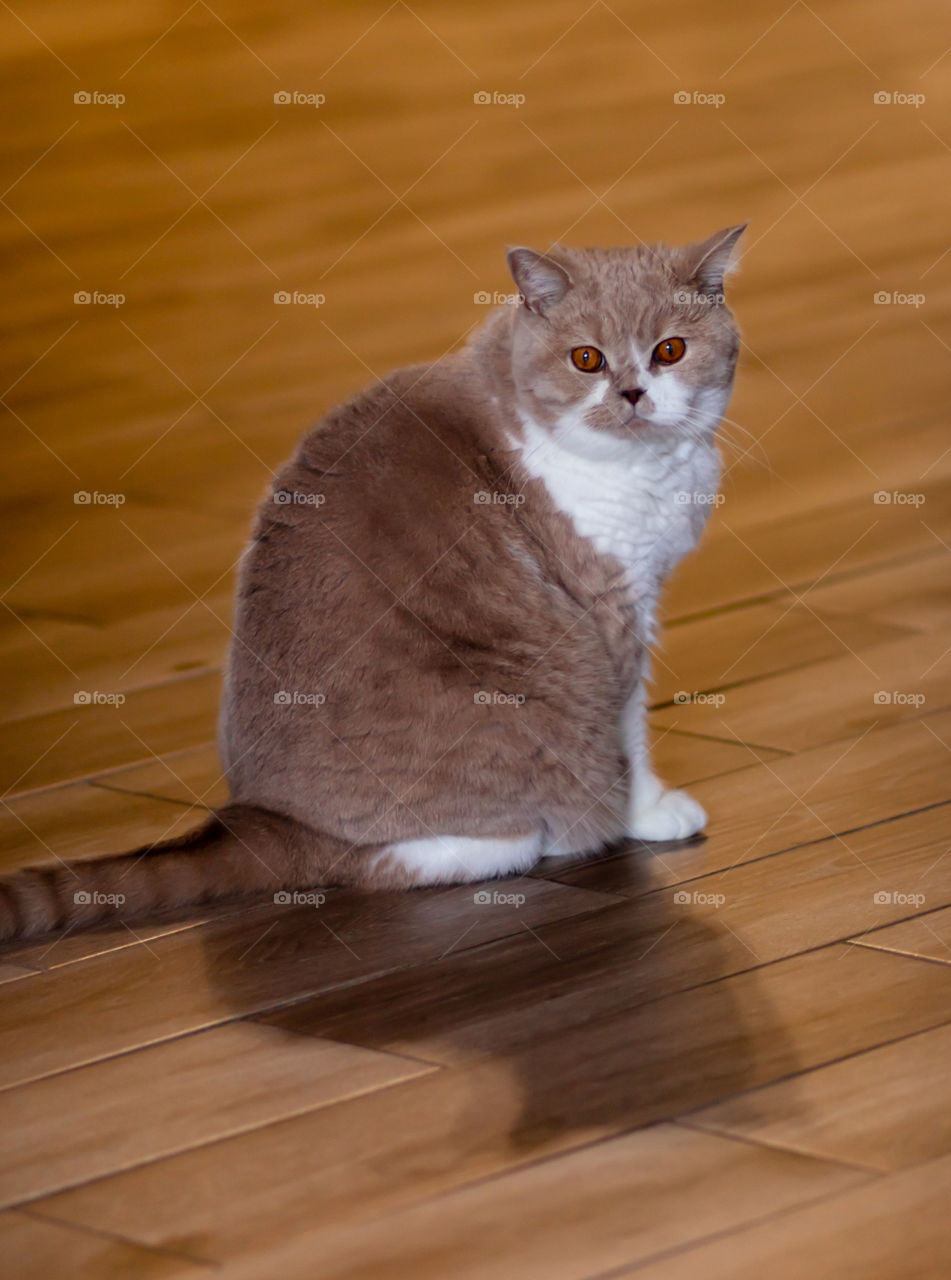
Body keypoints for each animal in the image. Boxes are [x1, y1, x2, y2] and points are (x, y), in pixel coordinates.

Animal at [0, 222, 742, 942]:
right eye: (586, 359)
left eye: (670, 351)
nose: (633, 393)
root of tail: (262, 815)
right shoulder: (614, 613)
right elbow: (629, 727)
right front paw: (649, 813)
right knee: (396, 859)